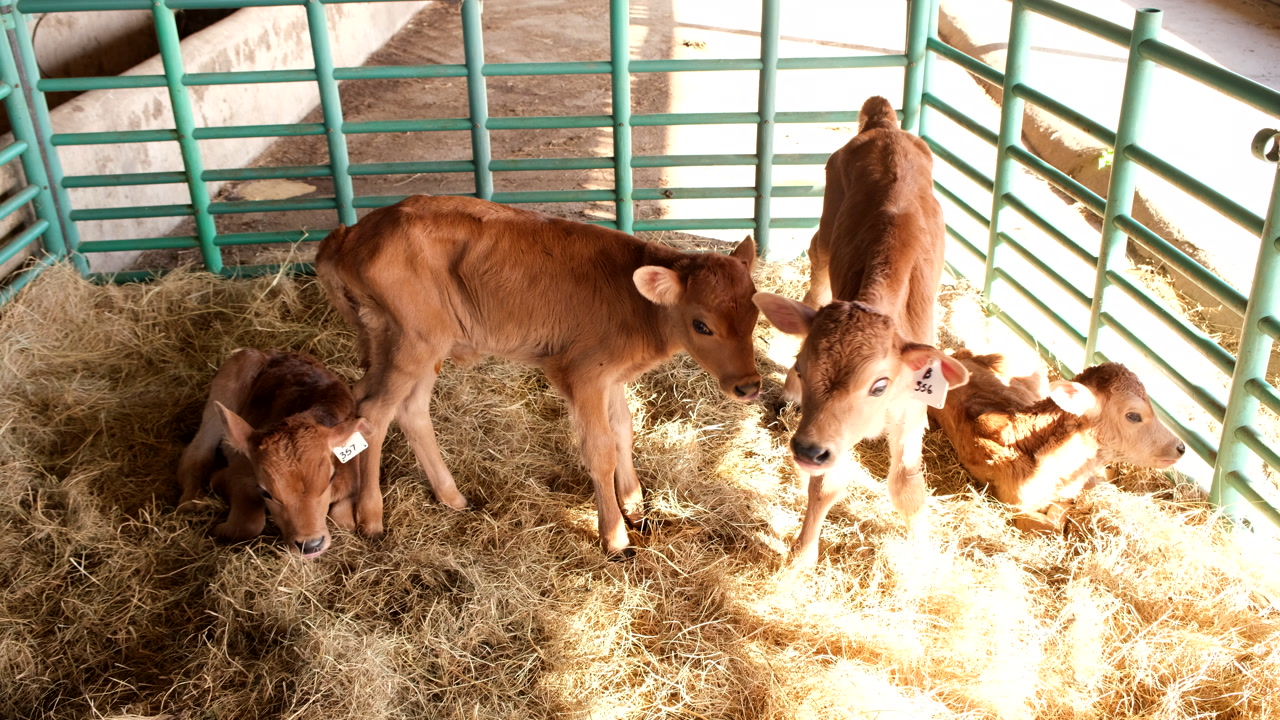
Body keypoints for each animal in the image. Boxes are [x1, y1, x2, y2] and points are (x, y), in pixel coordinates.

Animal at [176, 349, 373, 557]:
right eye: (265, 491)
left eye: (330, 478)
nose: (310, 544)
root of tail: (271, 353)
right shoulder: (240, 474)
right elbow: (249, 523)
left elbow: (344, 522)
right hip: (224, 390)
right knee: (197, 454)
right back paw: (191, 503)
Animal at [315, 195, 761, 559]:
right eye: (702, 325)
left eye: (756, 314)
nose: (749, 386)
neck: (639, 305)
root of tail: (351, 233)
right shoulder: (583, 375)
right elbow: (600, 450)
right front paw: (615, 538)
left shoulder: (612, 378)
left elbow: (623, 431)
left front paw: (636, 508)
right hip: (413, 342)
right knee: (373, 412)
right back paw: (371, 517)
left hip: (411, 345)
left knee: (398, 407)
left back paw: (448, 498)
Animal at [753, 96, 969, 567]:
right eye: (803, 366)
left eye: (879, 384)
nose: (806, 450)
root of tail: (884, 125)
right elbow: (826, 486)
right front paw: (802, 556)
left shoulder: (912, 406)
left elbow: (908, 485)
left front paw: (922, 553)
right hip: (826, 226)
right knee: (815, 275)